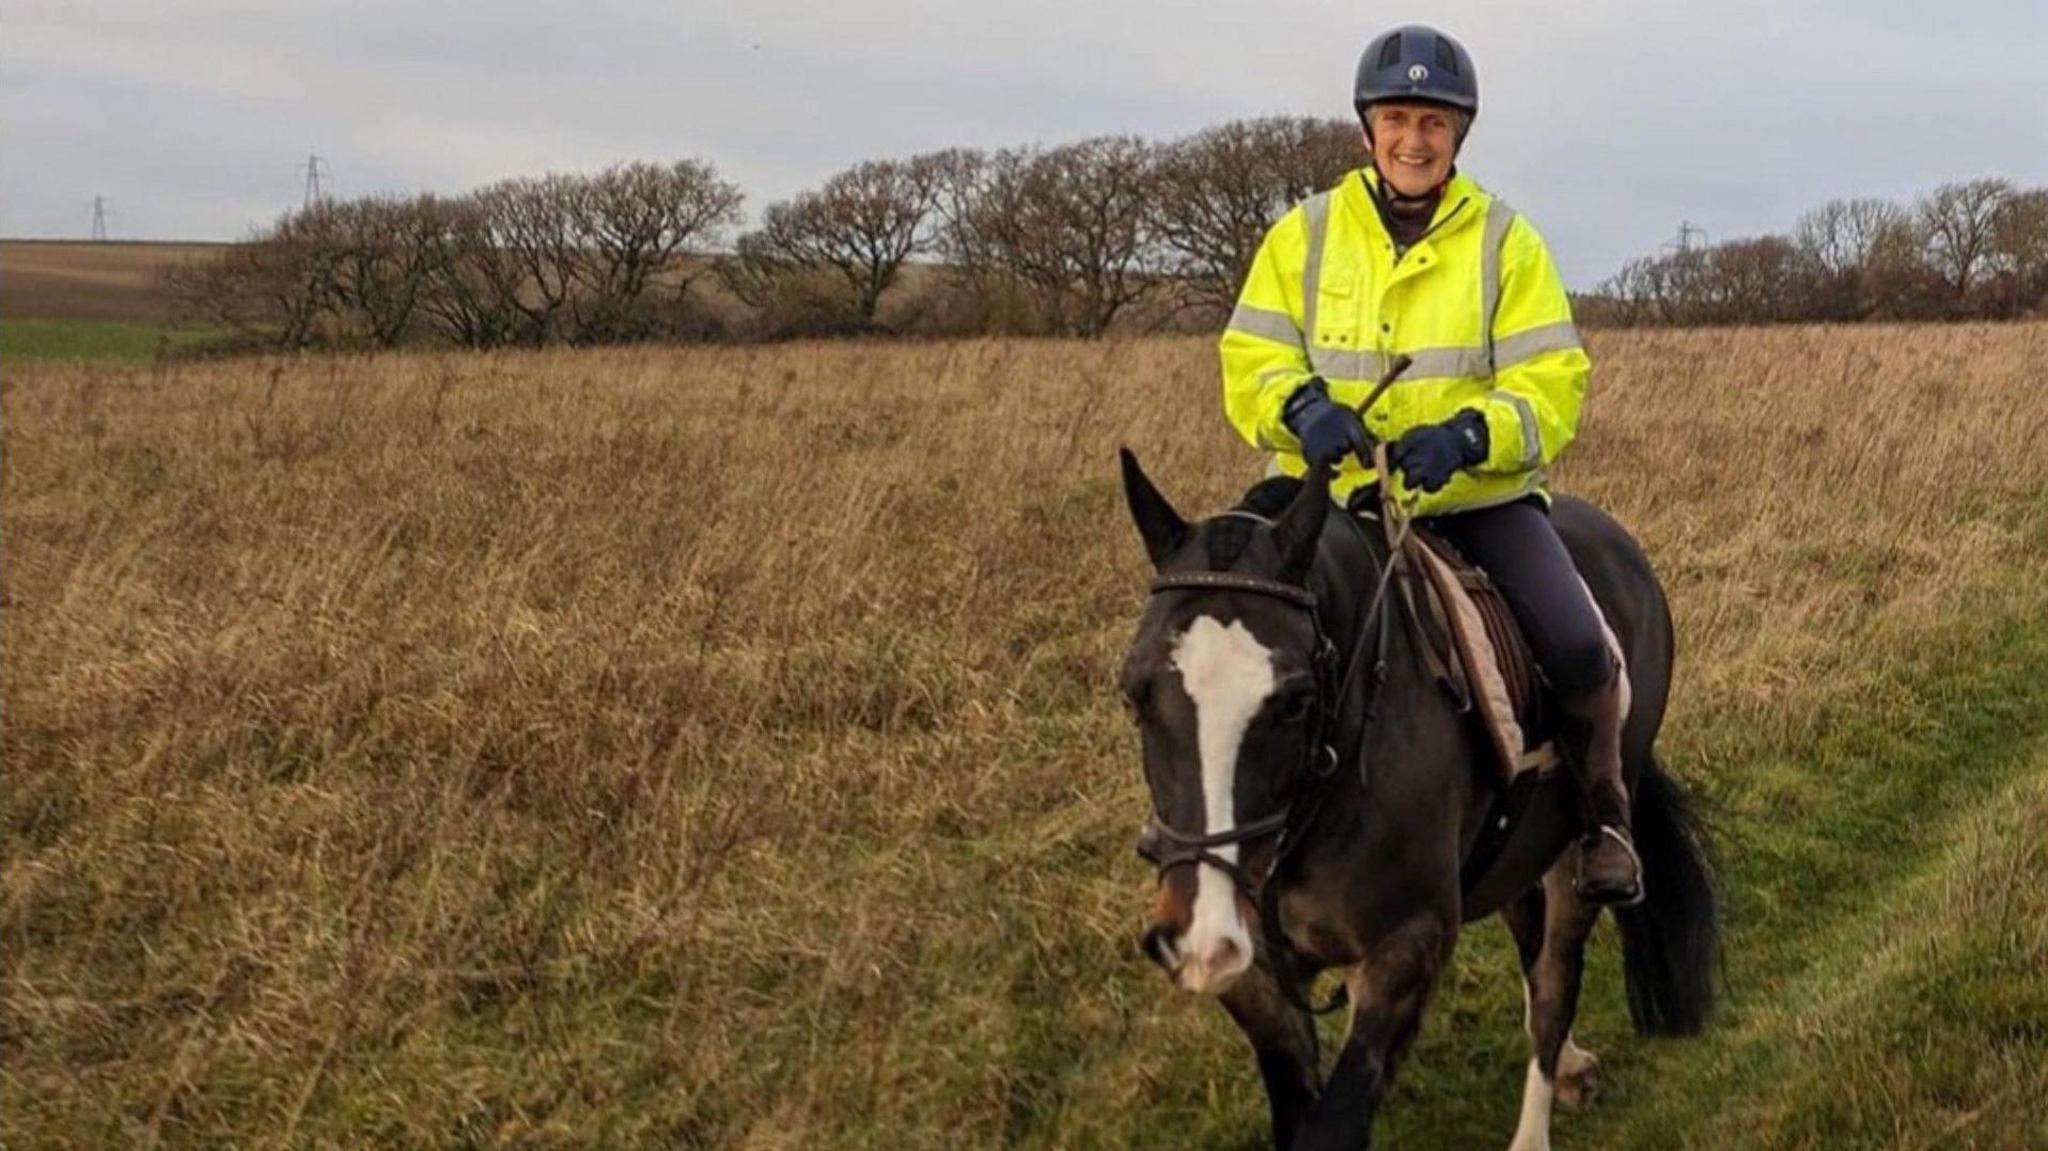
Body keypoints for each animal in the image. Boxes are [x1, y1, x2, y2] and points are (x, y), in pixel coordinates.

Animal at [1114, 450, 1720, 1146]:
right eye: (1133, 693)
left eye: (1294, 700)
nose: (1202, 936)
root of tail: (1621, 549)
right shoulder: (1260, 981)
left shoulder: (1406, 950)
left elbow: (1333, 1126)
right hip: (1513, 852)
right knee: (1530, 941)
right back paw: (1569, 1066)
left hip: (1579, 848)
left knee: (1554, 983)